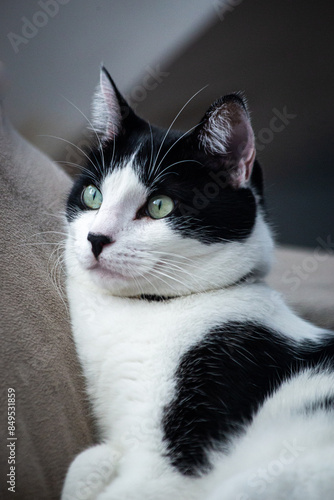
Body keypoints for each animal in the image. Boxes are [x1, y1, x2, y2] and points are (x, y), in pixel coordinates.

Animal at [60, 67, 334, 500]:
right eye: (92, 195)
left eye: (159, 206)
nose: (96, 238)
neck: (148, 308)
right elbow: (86, 462)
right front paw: (96, 466)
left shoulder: (176, 454)